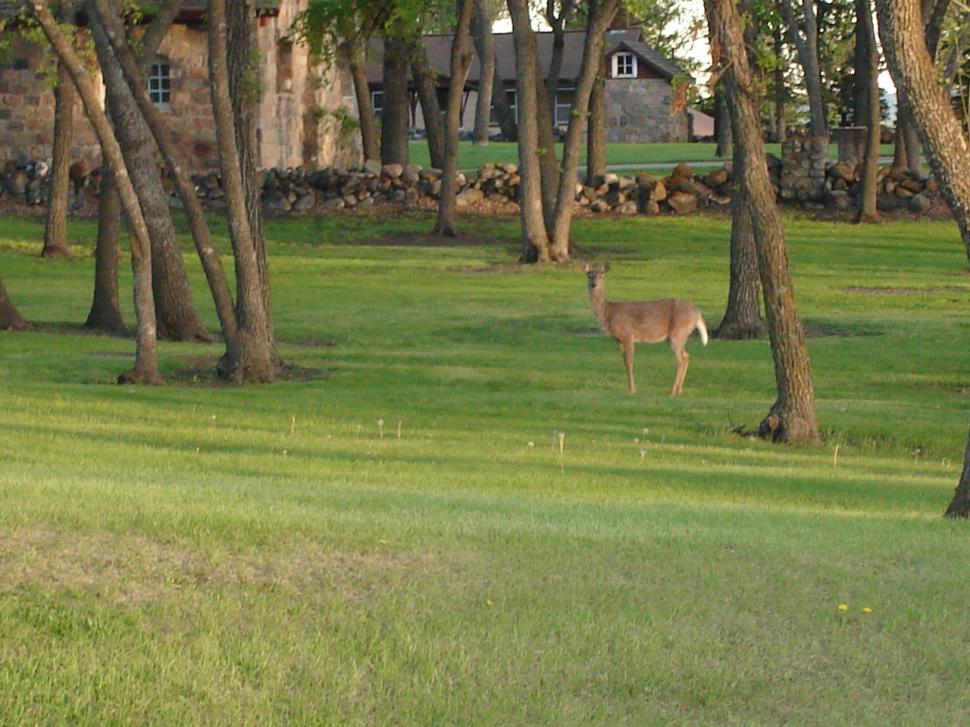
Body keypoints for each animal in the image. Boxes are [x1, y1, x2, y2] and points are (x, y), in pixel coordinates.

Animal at [584, 263, 708, 395]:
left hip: (678, 332)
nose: (594, 284)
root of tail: (697, 312)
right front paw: (630, 388)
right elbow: (625, 363)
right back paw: (680, 390)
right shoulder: (619, 340)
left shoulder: (628, 334)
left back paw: (672, 391)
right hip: (678, 336)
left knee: (681, 359)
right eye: (589, 275)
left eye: (601, 276)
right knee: (686, 355)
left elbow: (630, 362)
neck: (608, 312)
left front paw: (632, 390)